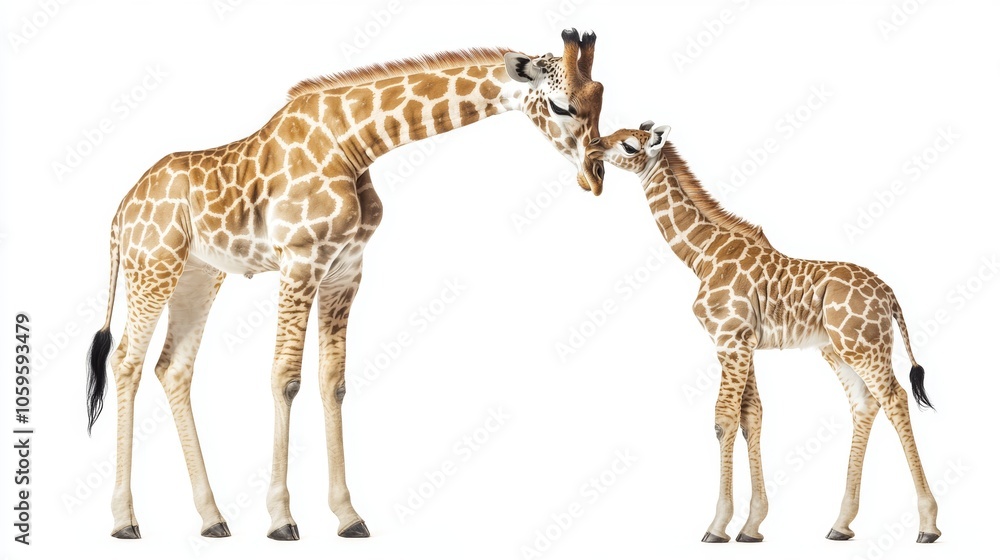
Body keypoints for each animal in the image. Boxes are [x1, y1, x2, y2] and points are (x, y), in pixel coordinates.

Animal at [84, 29, 605, 541]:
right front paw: (282, 519)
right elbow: (285, 378)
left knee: (172, 368)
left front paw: (348, 515)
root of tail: (121, 209)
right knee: (126, 361)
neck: (355, 141)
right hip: (152, 266)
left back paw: (212, 518)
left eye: (601, 98)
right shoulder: (300, 260)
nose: (596, 176)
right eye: (561, 106)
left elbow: (332, 381)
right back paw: (124, 520)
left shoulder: (345, 271)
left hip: (197, 274)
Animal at [585, 123, 941, 543]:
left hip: (863, 345)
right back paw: (840, 524)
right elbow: (750, 417)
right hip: (838, 349)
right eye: (613, 132)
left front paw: (717, 526)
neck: (702, 256)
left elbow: (723, 419)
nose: (593, 146)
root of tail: (889, 294)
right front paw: (752, 526)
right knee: (864, 404)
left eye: (627, 145)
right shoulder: (744, 343)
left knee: (895, 399)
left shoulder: (729, 339)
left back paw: (928, 525)